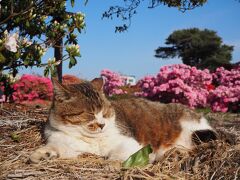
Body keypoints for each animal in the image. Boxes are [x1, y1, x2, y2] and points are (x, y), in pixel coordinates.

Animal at [29, 77, 217, 163]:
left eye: (105, 112)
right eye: (90, 114)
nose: (102, 125)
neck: (91, 139)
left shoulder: (129, 142)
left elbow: (117, 155)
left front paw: (112, 163)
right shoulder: (65, 144)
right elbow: (56, 148)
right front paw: (42, 154)